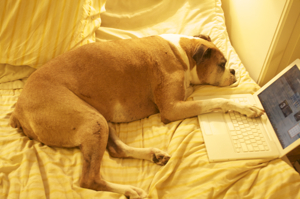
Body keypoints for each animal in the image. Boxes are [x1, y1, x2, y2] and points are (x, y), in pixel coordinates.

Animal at [8, 33, 262, 197]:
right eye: (222, 64)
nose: (233, 71)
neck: (182, 54)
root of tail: (18, 111)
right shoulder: (172, 108)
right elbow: (217, 101)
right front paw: (247, 108)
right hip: (92, 120)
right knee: (89, 179)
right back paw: (129, 190)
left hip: (98, 117)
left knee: (116, 149)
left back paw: (153, 155)